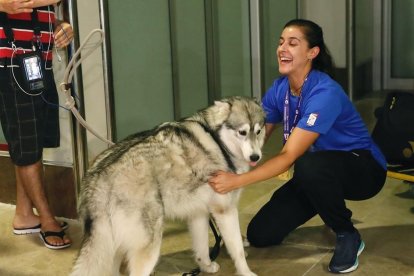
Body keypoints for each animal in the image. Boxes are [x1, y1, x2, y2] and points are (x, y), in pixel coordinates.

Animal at [70, 96, 266, 274]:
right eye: (242, 132)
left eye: (258, 131)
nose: (255, 157)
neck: (218, 141)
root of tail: (97, 179)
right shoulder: (225, 211)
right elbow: (237, 250)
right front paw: (246, 272)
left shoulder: (198, 213)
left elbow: (201, 248)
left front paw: (206, 266)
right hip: (148, 245)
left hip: (112, 247)